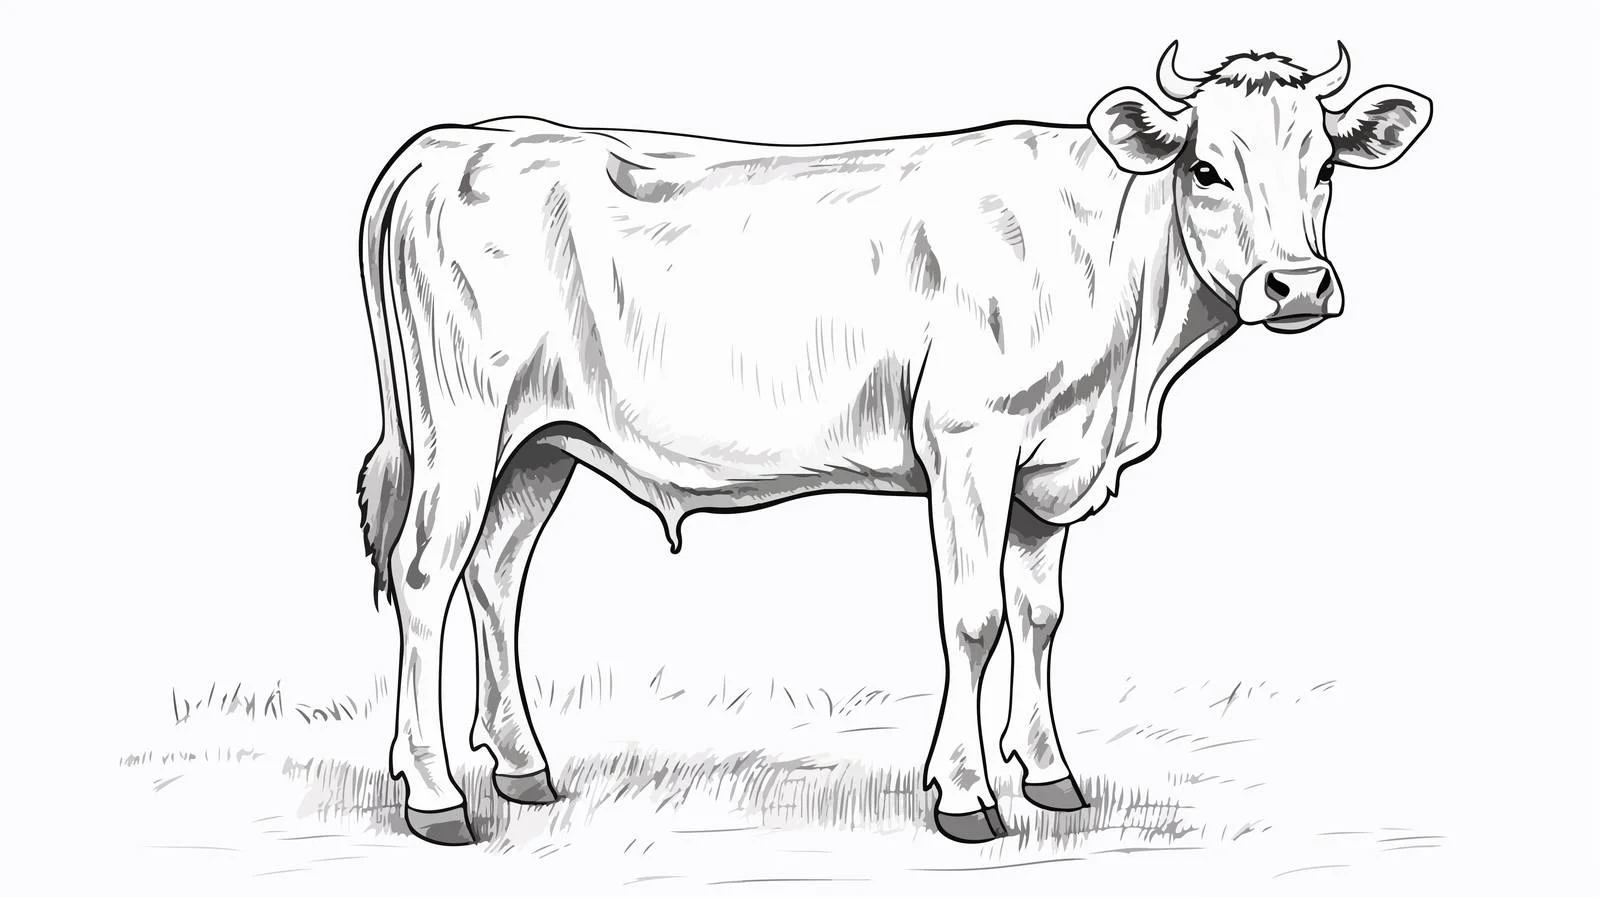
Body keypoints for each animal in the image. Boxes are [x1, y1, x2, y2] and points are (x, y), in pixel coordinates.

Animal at [355, 43, 1431, 845]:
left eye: (1324, 169)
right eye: (1206, 169)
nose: (1296, 286)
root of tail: (458, 140)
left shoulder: (1049, 467)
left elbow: (1041, 614)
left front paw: (1049, 776)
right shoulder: (969, 440)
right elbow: (974, 616)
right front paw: (965, 794)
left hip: (541, 442)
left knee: (495, 573)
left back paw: (524, 769)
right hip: (461, 420)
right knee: (423, 573)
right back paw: (435, 797)